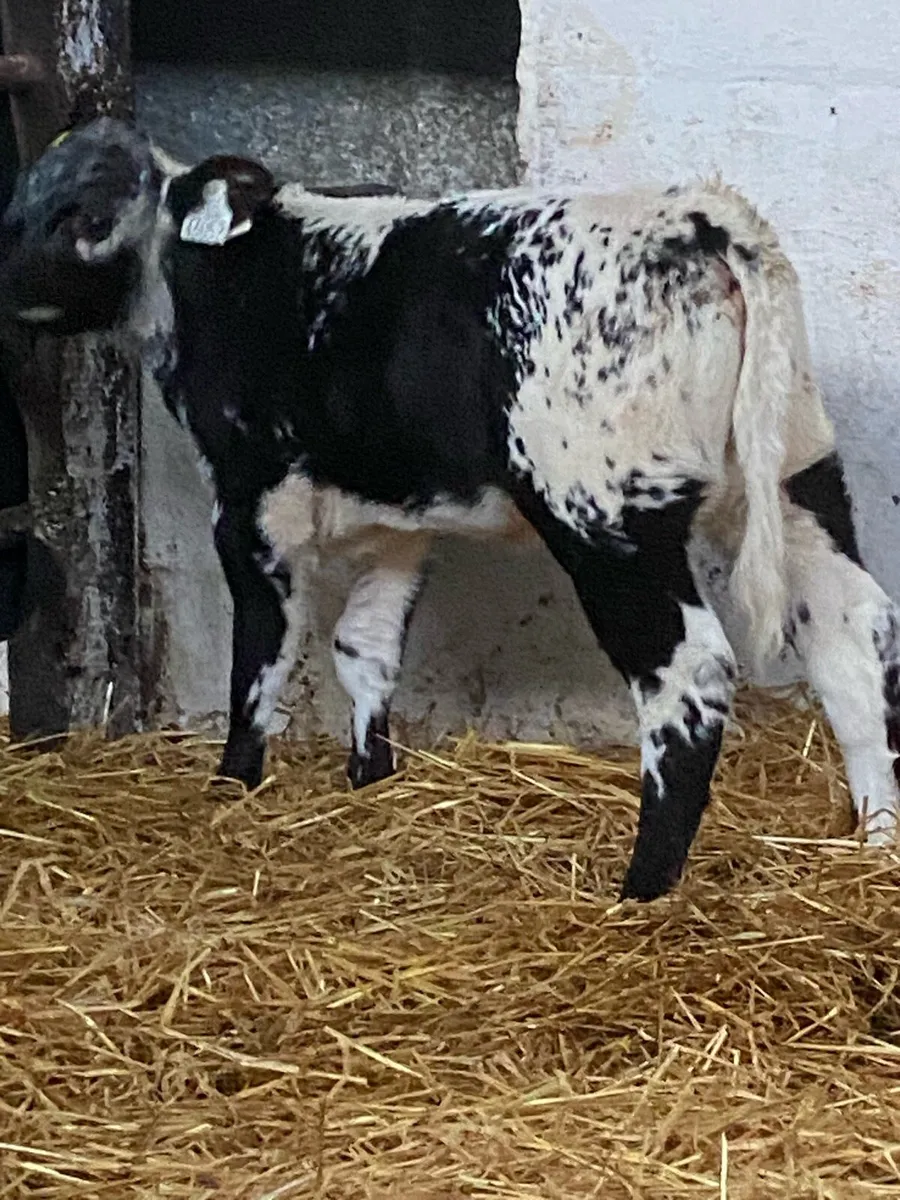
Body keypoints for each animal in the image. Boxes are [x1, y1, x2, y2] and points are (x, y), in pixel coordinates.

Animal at [0, 116, 897, 903]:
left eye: (86, 216)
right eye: (22, 199)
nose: (6, 282)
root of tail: (697, 216)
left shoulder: (252, 500)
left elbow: (264, 651)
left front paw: (234, 785)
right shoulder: (398, 520)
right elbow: (364, 646)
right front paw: (369, 780)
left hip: (605, 517)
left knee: (689, 674)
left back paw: (642, 889)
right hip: (798, 476)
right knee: (851, 631)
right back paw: (876, 841)